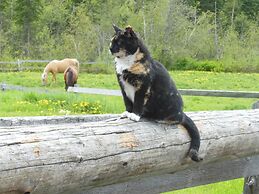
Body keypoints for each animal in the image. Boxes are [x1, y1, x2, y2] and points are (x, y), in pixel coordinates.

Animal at [109, 25, 203, 161]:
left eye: (119, 42)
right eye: (111, 41)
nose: (110, 48)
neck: (125, 63)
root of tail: (182, 113)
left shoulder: (143, 87)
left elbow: (138, 102)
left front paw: (135, 115)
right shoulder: (123, 86)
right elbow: (127, 102)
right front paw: (127, 113)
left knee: (177, 119)